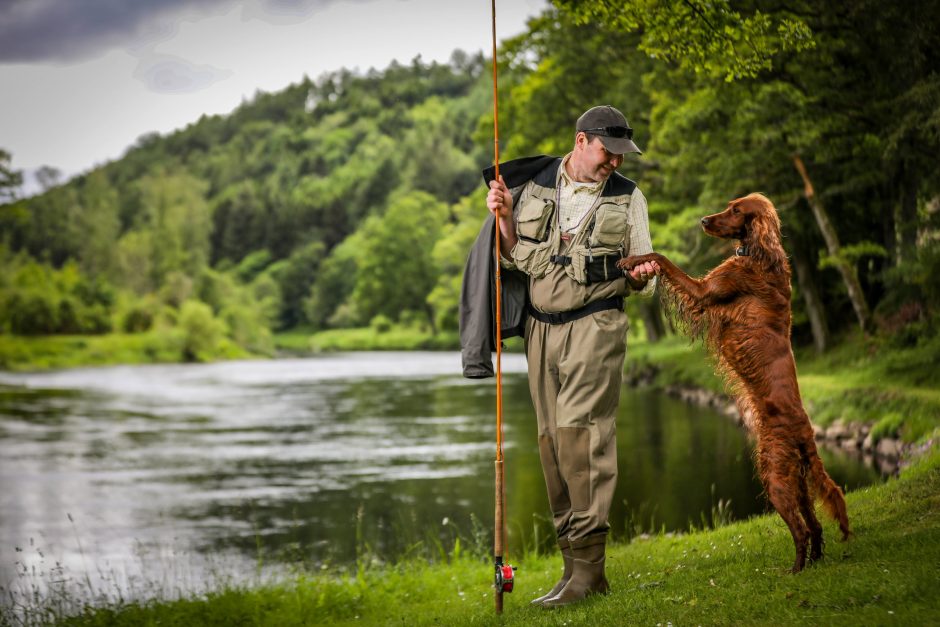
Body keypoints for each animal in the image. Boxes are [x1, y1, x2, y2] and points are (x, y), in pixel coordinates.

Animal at [616, 193, 852, 576]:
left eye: (737, 210)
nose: (703, 220)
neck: (758, 255)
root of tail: (806, 432)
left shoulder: (704, 291)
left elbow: (662, 258)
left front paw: (634, 259)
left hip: (775, 478)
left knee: (801, 529)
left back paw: (794, 571)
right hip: (796, 481)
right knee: (815, 525)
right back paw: (812, 564)